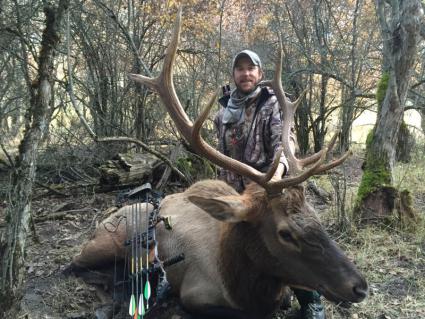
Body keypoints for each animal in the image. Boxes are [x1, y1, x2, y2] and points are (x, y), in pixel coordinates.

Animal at [71, 7, 366, 319]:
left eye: (317, 218)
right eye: (285, 233)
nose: (359, 287)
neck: (238, 285)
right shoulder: (194, 295)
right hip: (102, 243)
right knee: (73, 265)